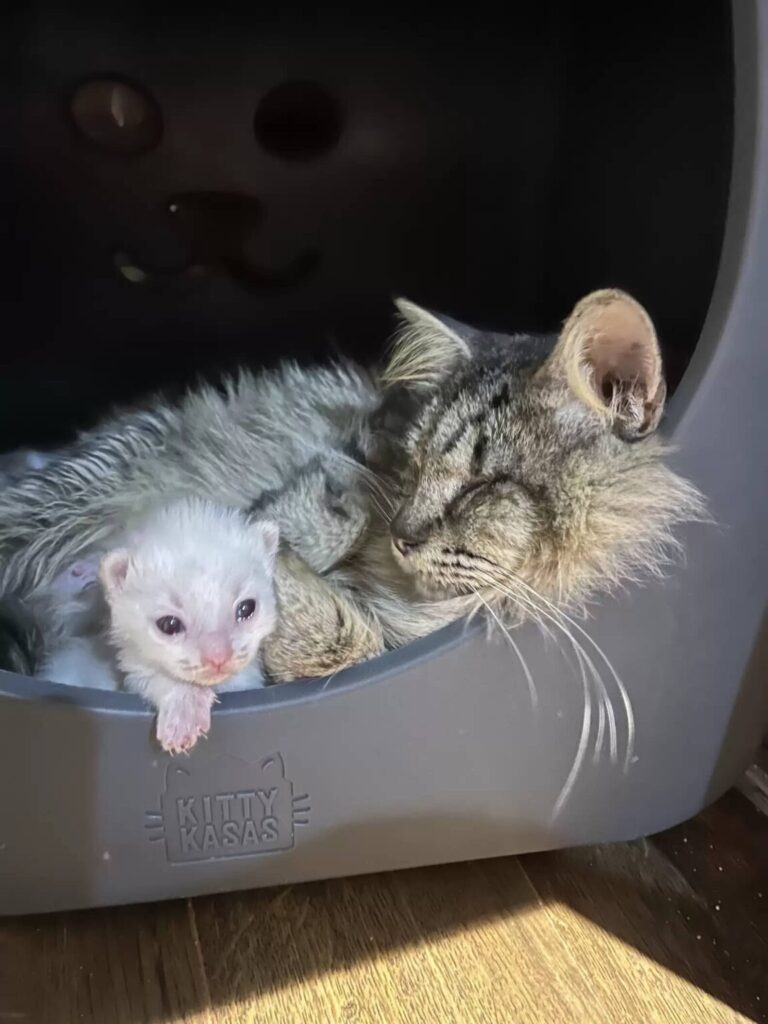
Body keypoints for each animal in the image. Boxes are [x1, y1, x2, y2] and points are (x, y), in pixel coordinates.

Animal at [0, 288, 704, 679]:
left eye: (480, 488)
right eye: (414, 464)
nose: (402, 537)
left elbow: (348, 642)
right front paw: (310, 519)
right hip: (70, 489)